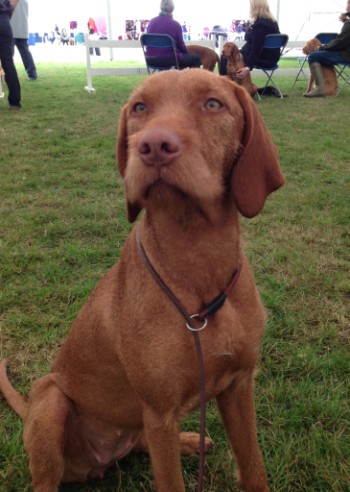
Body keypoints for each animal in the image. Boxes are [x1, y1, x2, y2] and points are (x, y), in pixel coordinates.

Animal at [0, 69, 284, 492]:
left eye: (213, 103)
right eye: (139, 107)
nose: (153, 145)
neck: (197, 259)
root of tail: (99, 461)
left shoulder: (239, 386)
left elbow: (254, 467)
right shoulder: (160, 411)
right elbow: (171, 481)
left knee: (143, 444)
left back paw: (190, 441)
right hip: (50, 398)